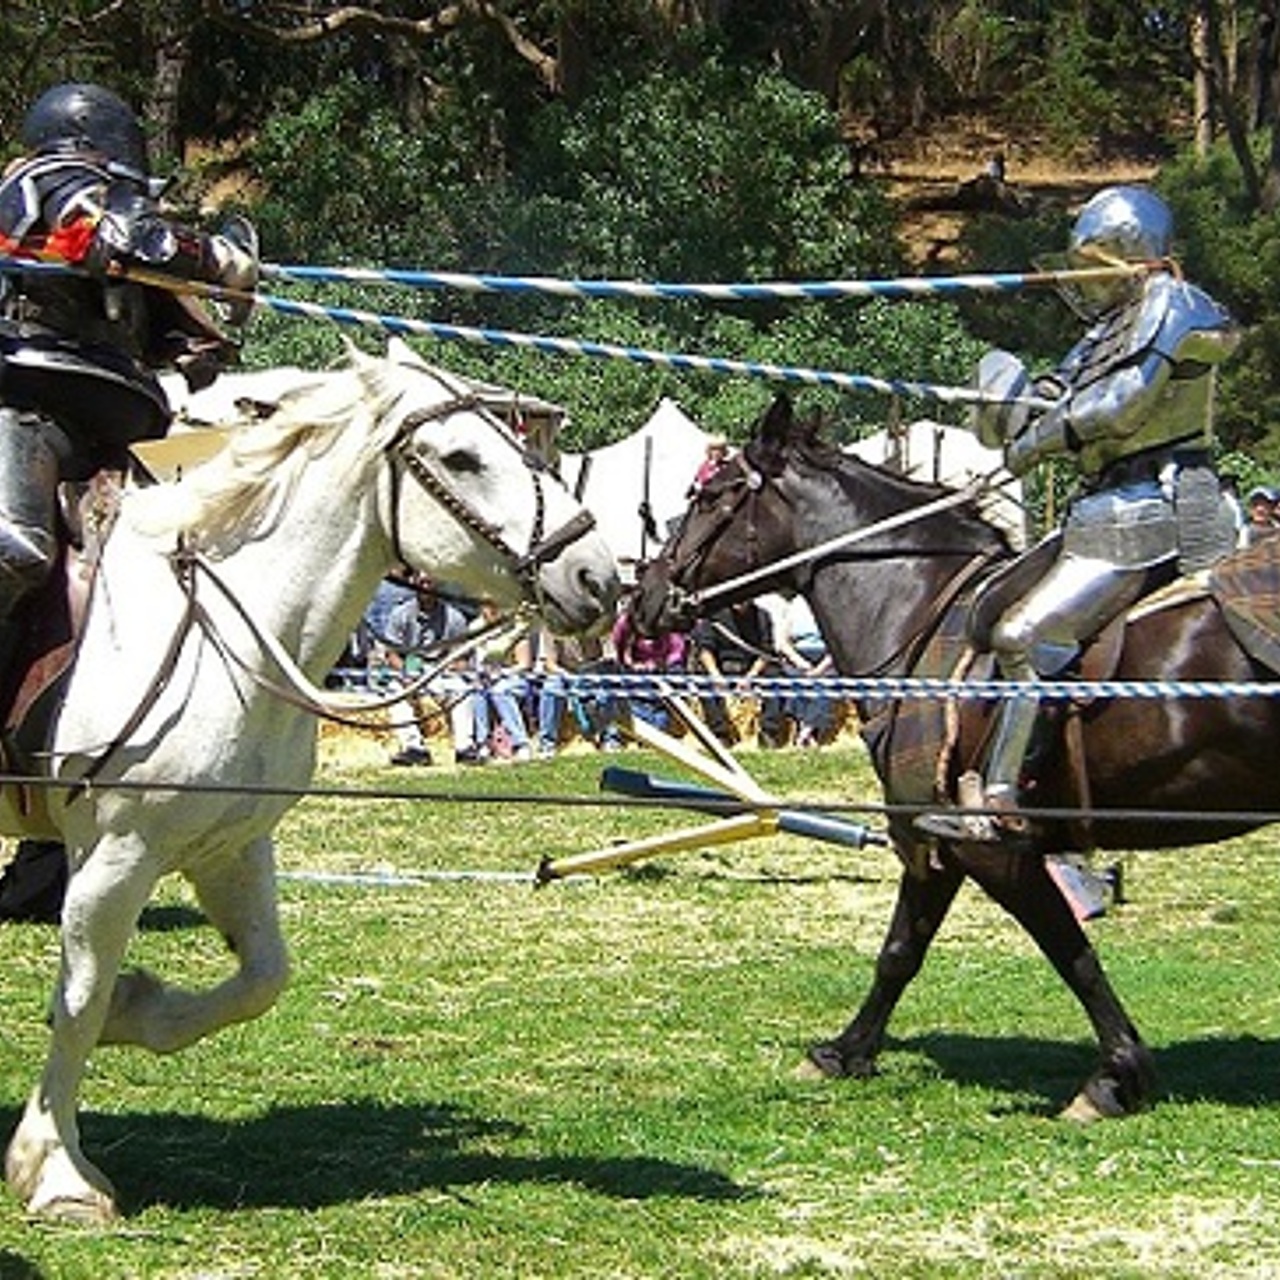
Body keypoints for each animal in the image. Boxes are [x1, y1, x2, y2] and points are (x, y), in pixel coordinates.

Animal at [0, 340, 619, 1218]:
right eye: (461, 459)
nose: (597, 577)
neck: (225, 631)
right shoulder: (117, 853)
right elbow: (78, 1001)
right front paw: (57, 1170)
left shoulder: (230, 847)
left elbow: (261, 978)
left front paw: (138, 1008)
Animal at [632, 394, 1280, 1116]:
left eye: (713, 494)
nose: (646, 595)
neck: (917, 606)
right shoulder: (934, 839)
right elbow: (901, 950)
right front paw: (844, 1052)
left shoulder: (979, 846)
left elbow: (1068, 951)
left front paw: (1116, 1076)